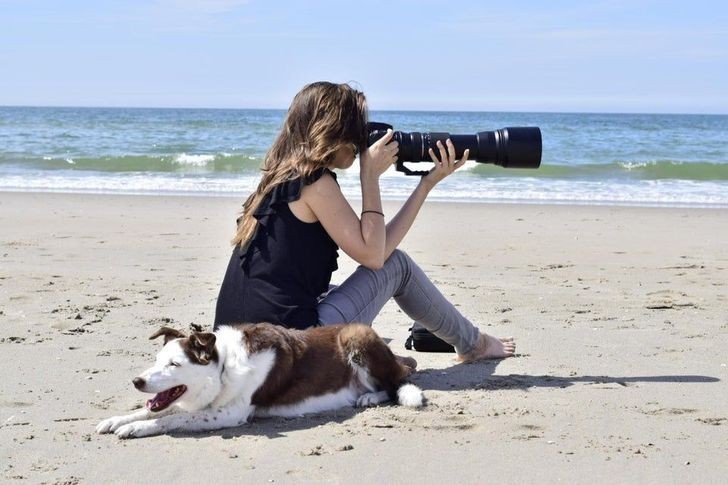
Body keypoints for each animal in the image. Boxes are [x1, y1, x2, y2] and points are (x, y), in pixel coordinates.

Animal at [94, 322, 424, 438]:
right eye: (156, 361)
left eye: (174, 364)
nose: (137, 381)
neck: (224, 367)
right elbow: (153, 410)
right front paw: (117, 420)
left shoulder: (231, 414)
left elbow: (173, 418)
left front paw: (137, 428)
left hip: (357, 336)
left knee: (394, 384)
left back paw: (369, 397)